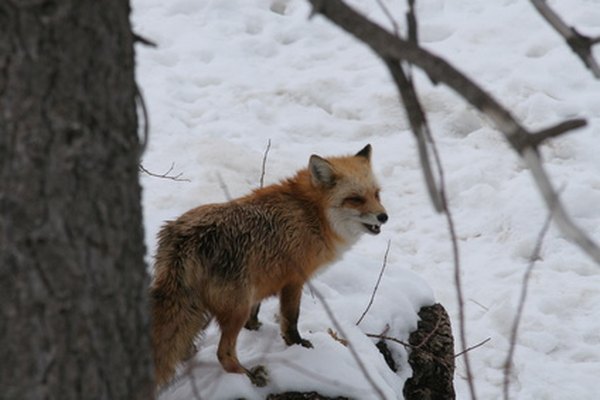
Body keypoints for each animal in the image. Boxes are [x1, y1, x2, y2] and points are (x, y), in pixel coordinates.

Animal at [150, 144, 390, 388]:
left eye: (376, 194)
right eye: (355, 199)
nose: (384, 216)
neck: (312, 213)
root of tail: (182, 238)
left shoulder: (260, 280)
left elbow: (255, 313)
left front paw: (255, 328)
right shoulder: (294, 281)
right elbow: (291, 319)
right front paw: (297, 345)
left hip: (205, 307)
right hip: (236, 308)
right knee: (223, 353)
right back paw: (249, 376)